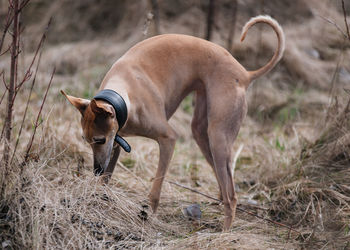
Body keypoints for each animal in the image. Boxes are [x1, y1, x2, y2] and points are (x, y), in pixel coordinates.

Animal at [60, 15, 284, 230]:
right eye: (86, 140)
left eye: (99, 139)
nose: (96, 170)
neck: (124, 94)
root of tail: (244, 74)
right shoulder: (116, 142)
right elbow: (107, 179)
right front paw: (97, 202)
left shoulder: (168, 139)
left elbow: (156, 188)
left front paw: (149, 217)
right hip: (202, 133)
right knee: (222, 180)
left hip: (218, 137)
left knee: (232, 197)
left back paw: (225, 232)